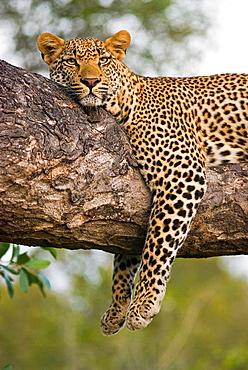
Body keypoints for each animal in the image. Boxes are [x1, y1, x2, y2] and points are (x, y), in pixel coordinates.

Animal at [37, 29, 248, 336]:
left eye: (103, 60)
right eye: (71, 62)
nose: (91, 81)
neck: (125, 102)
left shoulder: (182, 173)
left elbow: (158, 242)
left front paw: (144, 303)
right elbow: (125, 256)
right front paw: (117, 308)